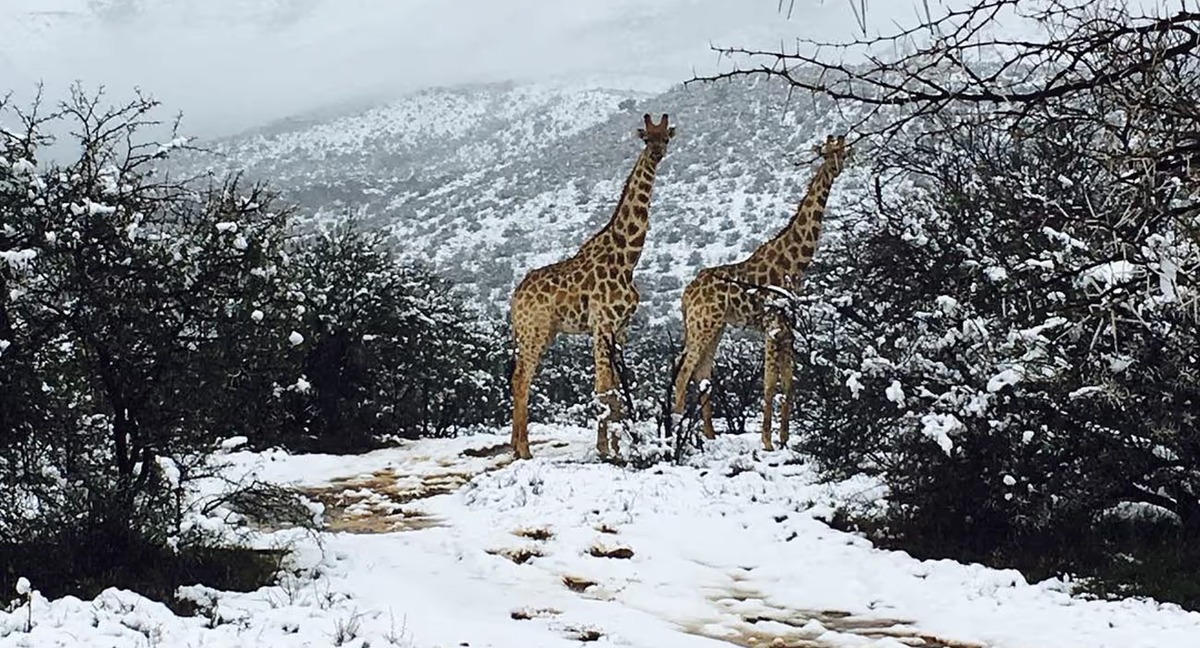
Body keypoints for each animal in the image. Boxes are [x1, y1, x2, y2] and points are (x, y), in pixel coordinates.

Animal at [506, 111, 676, 460]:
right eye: (646, 138)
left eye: (666, 137)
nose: (656, 153)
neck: (628, 258)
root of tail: (515, 297)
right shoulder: (602, 324)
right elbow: (603, 388)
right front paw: (605, 450)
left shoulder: (621, 329)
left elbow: (616, 390)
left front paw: (620, 448)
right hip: (535, 331)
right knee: (521, 379)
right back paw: (523, 450)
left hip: (541, 333)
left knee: (518, 378)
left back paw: (515, 447)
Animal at [672, 133, 849, 451]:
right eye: (827, 152)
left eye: (842, 149)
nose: (837, 167)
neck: (795, 262)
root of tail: (686, 295)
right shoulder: (772, 324)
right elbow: (769, 383)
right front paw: (767, 441)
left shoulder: (789, 327)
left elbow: (789, 382)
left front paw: (784, 438)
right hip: (702, 324)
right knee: (684, 373)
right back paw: (679, 432)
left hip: (715, 327)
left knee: (702, 373)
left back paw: (709, 435)